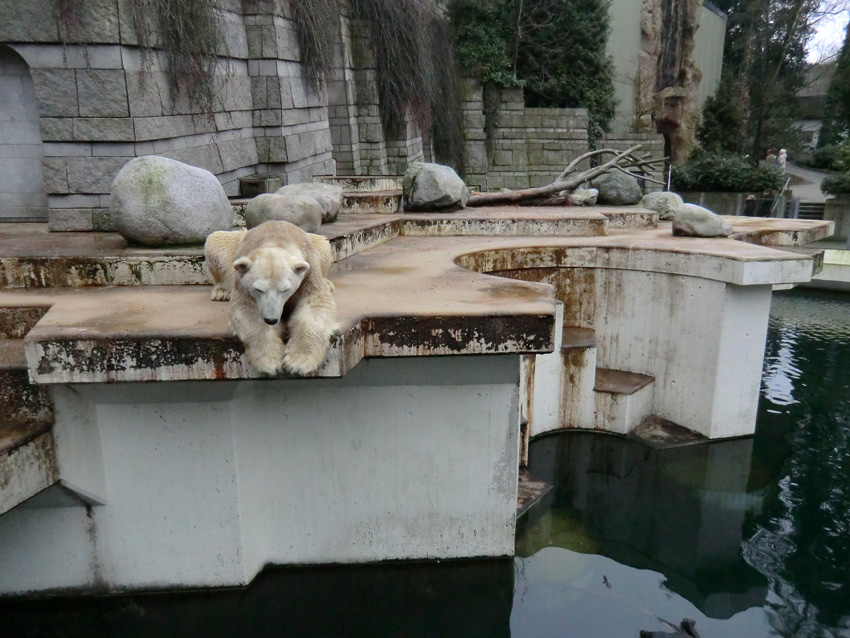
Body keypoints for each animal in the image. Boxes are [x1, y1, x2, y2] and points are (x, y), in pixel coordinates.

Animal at [204, 222, 336, 378]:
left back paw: (328, 283)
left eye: (285, 289)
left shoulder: (309, 272)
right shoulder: (243, 283)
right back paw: (221, 292)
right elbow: (247, 311)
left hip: (317, 246)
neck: (275, 241)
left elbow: (315, 303)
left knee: (324, 245)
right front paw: (271, 362)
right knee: (215, 241)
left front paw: (297, 362)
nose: (271, 319)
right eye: (259, 289)